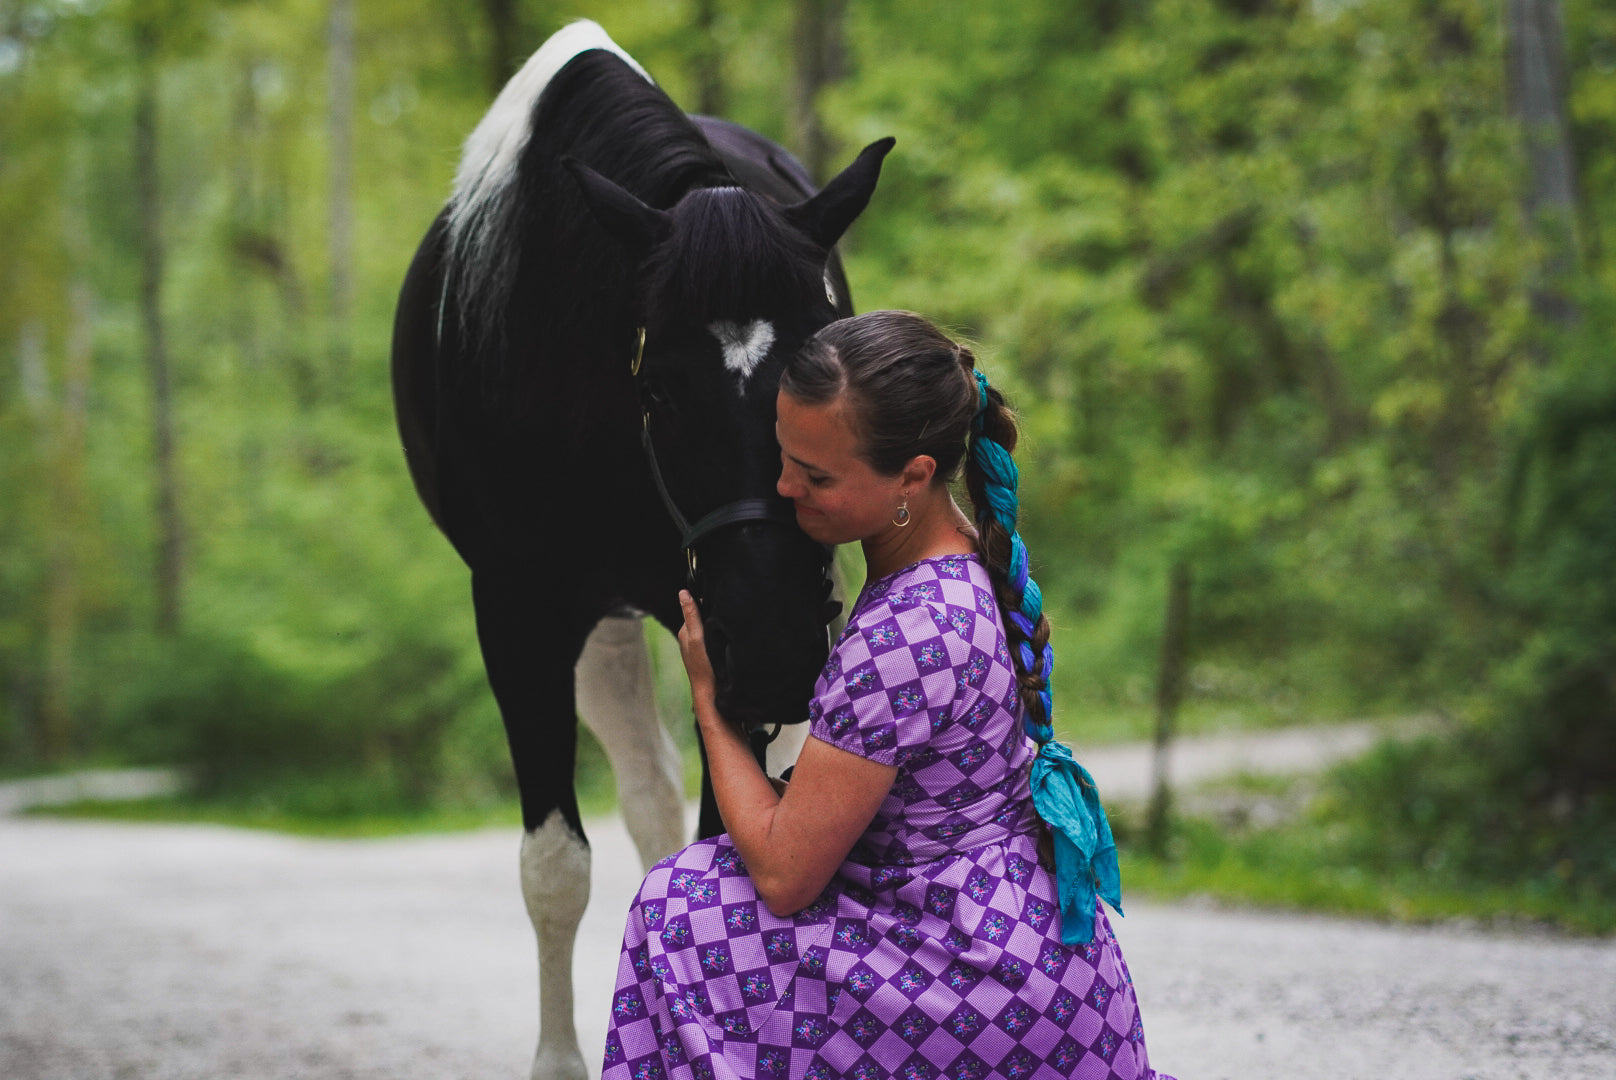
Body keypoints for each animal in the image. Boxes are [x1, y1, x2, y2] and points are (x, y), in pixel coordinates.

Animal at [389, 21, 892, 1080]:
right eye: (656, 386)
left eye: (827, 370)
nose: (776, 646)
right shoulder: (522, 608)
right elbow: (554, 866)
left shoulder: (740, 623)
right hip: (609, 631)